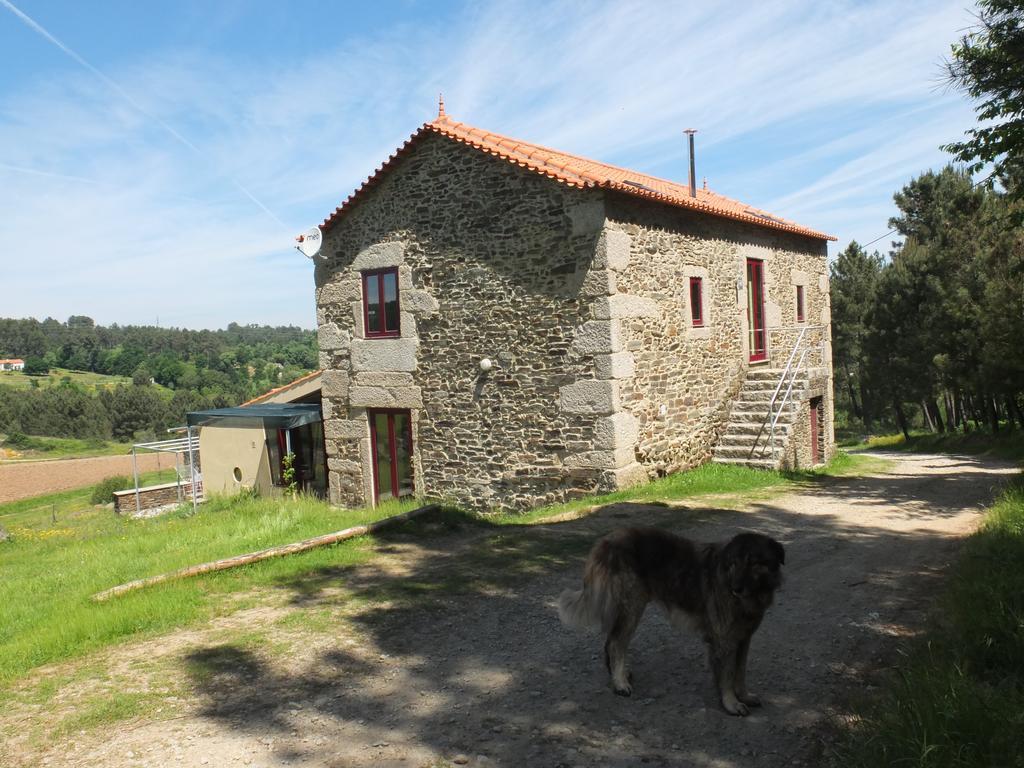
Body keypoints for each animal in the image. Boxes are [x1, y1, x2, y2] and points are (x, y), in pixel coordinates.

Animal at [561, 528, 782, 720]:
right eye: (734, 563)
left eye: (754, 563)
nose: (736, 588)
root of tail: (607, 540)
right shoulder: (724, 641)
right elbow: (727, 675)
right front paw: (731, 703)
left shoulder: (744, 639)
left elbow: (740, 672)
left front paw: (744, 695)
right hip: (632, 606)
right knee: (616, 643)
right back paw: (620, 683)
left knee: (611, 642)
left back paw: (618, 675)